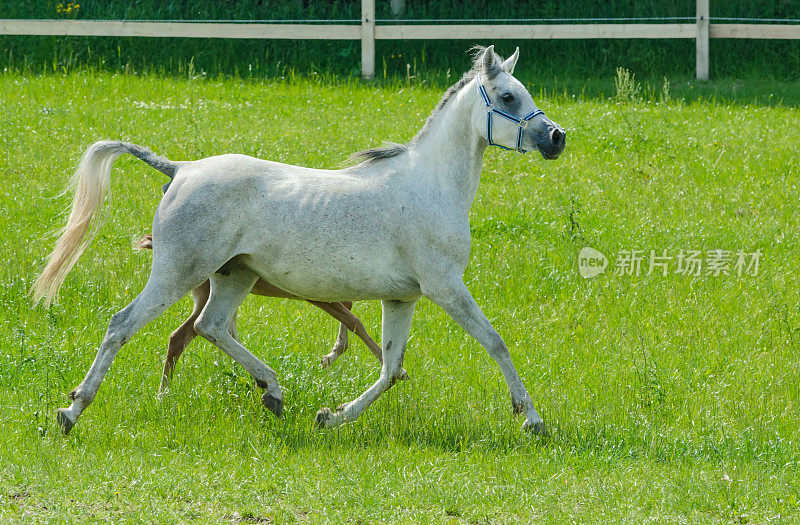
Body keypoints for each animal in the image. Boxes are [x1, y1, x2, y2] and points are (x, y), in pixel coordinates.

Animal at [34, 46, 564, 434]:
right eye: (508, 97)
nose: (557, 138)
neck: (430, 186)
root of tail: (180, 169)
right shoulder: (445, 288)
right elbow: (495, 343)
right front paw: (532, 419)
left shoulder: (402, 297)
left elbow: (391, 369)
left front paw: (331, 416)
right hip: (177, 272)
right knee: (122, 325)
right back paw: (71, 411)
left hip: (234, 276)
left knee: (211, 327)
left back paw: (273, 392)